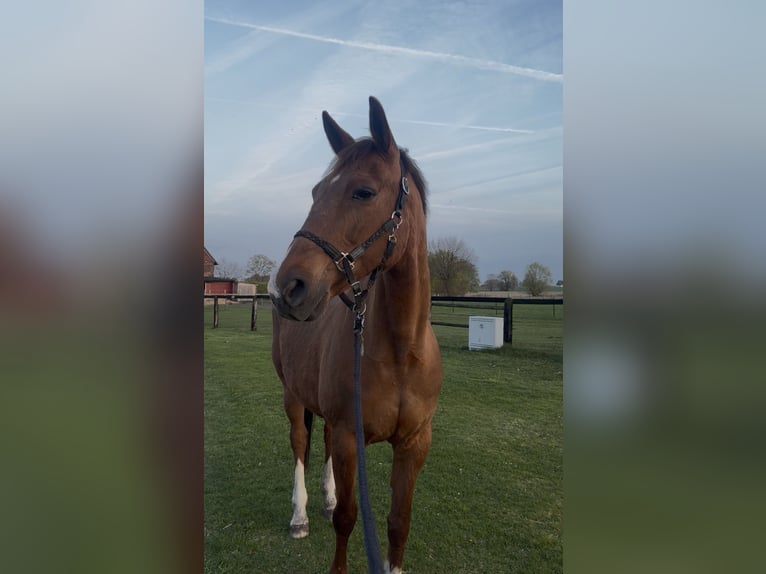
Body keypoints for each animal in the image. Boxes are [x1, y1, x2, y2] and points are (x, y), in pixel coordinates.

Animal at [269, 96, 443, 574]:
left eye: (363, 191)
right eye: (315, 192)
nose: (288, 287)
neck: (400, 351)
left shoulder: (414, 445)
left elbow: (398, 525)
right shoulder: (352, 436)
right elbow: (348, 518)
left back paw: (325, 497)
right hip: (292, 395)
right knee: (299, 443)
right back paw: (300, 515)